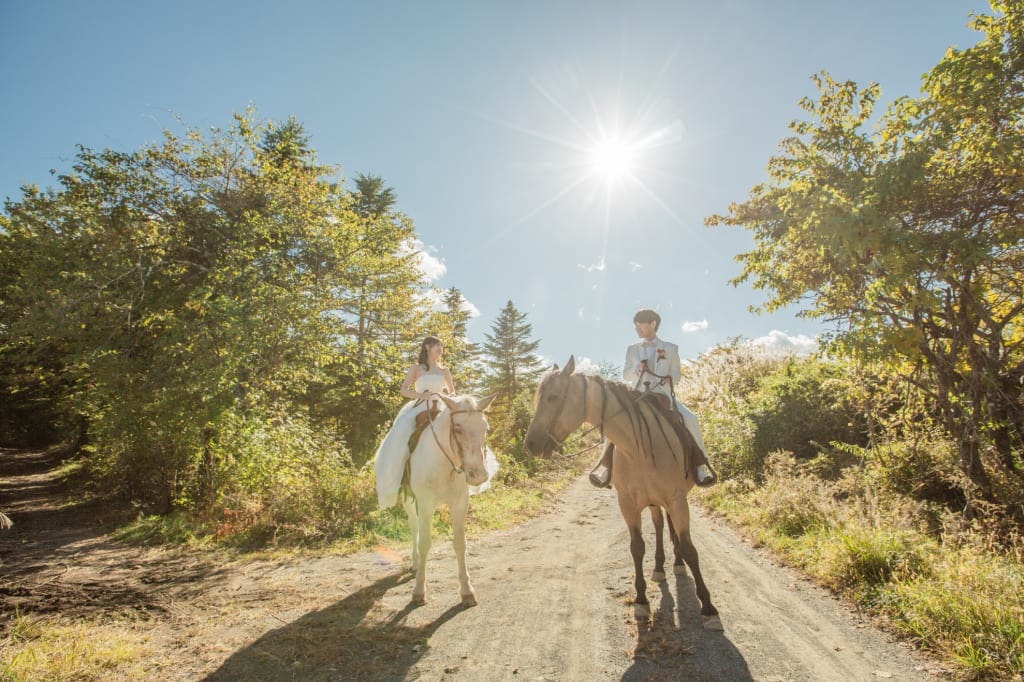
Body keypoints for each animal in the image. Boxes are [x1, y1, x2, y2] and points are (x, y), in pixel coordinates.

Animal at [399, 391, 495, 602]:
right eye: (457, 429)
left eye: (486, 428)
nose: (478, 476)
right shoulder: (425, 505)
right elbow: (424, 544)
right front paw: (419, 590)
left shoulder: (459, 504)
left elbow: (460, 544)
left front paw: (466, 590)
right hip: (409, 501)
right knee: (414, 526)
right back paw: (415, 563)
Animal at [524, 356, 724, 626]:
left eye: (553, 397)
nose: (530, 444)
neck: (639, 447)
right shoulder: (627, 503)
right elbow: (637, 547)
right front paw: (641, 601)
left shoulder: (677, 500)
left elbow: (690, 549)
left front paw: (708, 607)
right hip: (653, 502)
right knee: (660, 525)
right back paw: (659, 568)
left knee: (672, 530)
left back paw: (677, 563)